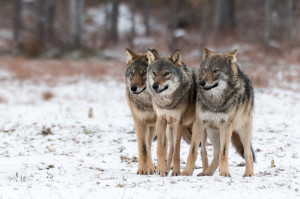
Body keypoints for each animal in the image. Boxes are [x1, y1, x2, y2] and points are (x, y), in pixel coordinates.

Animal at [180, 48, 255, 177]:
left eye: (216, 70)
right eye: (205, 69)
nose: (201, 83)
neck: (215, 101)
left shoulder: (226, 126)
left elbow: (224, 152)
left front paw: (224, 173)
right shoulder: (199, 124)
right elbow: (193, 150)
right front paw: (186, 171)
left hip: (243, 131)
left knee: (248, 152)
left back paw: (249, 173)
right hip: (212, 132)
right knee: (215, 154)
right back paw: (207, 173)